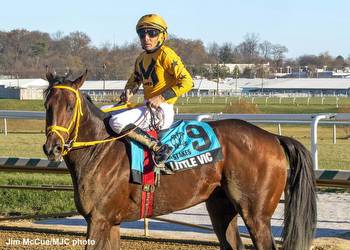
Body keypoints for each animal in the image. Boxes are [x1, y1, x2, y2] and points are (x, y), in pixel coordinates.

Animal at [43, 71, 318, 250]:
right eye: (47, 104)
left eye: (70, 106)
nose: (52, 147)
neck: (100, 150)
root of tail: (273, 137)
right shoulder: (111, 222)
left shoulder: (98, 219)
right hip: (220, 207)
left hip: (256, 214)